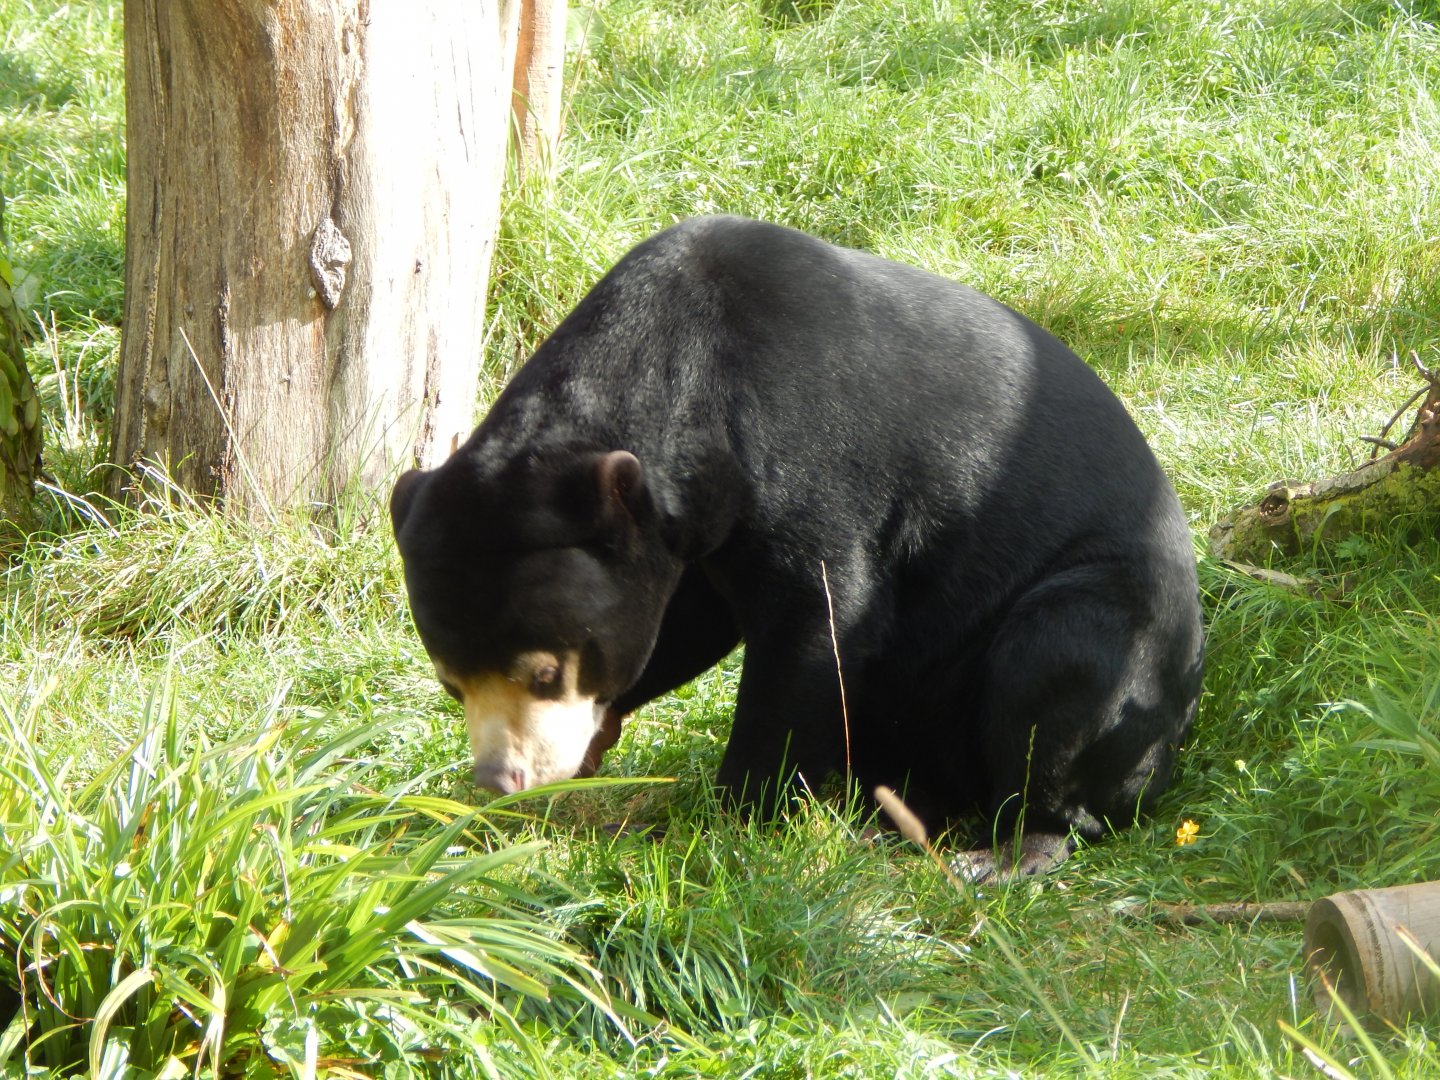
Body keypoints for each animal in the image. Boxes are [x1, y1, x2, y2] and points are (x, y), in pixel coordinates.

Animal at [390, 215, 1204, 878]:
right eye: (451, 683)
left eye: (546, 672)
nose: (500, 779)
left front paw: (734, 819)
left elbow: (819, 622)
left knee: (1056, 675)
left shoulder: (810, 457)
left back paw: (1008, 849)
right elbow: (687, 622)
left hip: (1114, 632)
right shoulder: (691, 533)